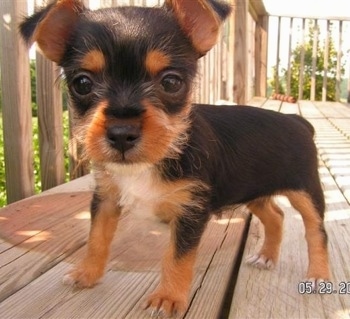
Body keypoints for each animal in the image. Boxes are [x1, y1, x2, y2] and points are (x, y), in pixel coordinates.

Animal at [20, 0, 330, 318]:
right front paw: (87, 274)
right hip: (252, 190)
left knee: (316, 231)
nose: (121, 133)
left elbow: (177, 258)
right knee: (276, 216)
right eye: (82, 83)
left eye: (171, 82)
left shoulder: (190, 211)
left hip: (306, 192)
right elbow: (96, 238)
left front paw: (167, 298)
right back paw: (267, 256)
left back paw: (319, 276)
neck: (150, 163)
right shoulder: (105, 198)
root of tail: (297, 121)